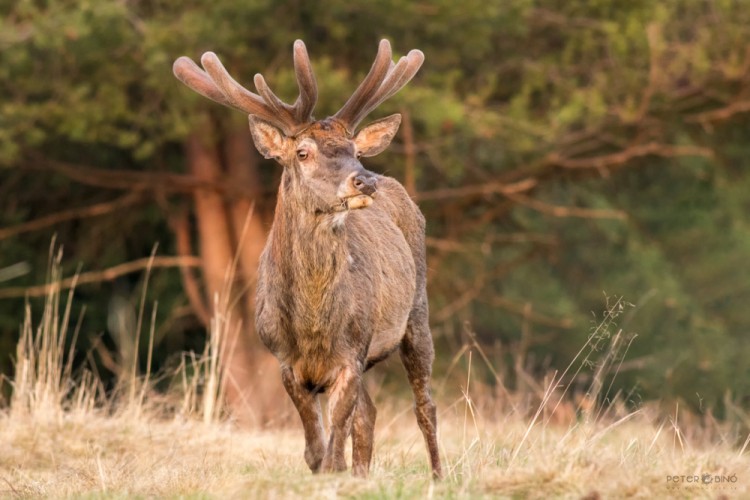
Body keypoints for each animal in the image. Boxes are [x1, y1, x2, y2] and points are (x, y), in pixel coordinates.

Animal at [173, 40, 444, 480]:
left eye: (353, 150)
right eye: (302, 152)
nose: (364, 180)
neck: (313, 325)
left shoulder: (352, 353)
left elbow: (333, 448)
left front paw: (338, 474)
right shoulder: (286, 362)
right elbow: (317, 451)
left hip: (417, 310)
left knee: (425, 407)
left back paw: (438, 476)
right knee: (369, 414)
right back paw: (362, 476)